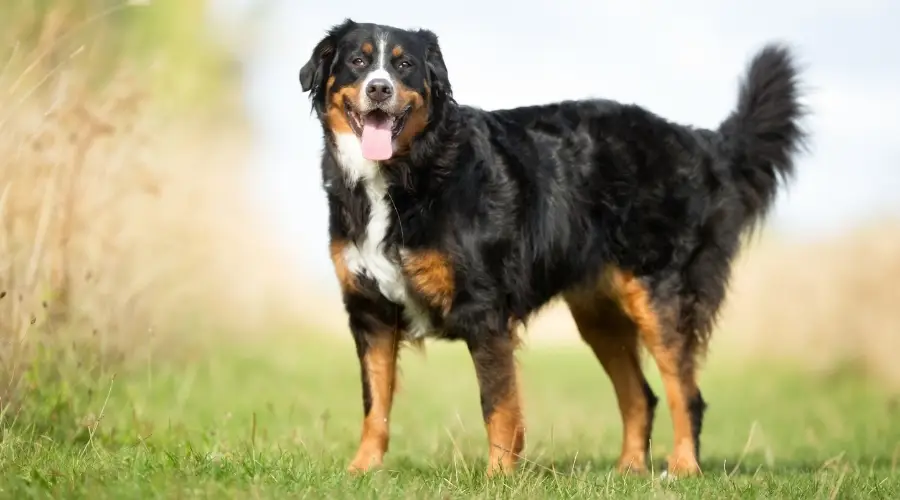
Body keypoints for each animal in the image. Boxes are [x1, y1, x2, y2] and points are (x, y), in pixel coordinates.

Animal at [300, 19, 808, 478]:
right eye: (358, 61)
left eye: (404, 65)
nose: (379, 89)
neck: (406, 174)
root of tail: (697, 141)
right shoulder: (370, 312)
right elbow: (376, 404)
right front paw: (362, 471)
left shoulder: (483, 310)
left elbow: (497, 405)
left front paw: (498, 478)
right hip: (599, 316)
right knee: (640, 395)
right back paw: (628, 472)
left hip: (658, 297)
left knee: (687, 395)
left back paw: (682, 469)